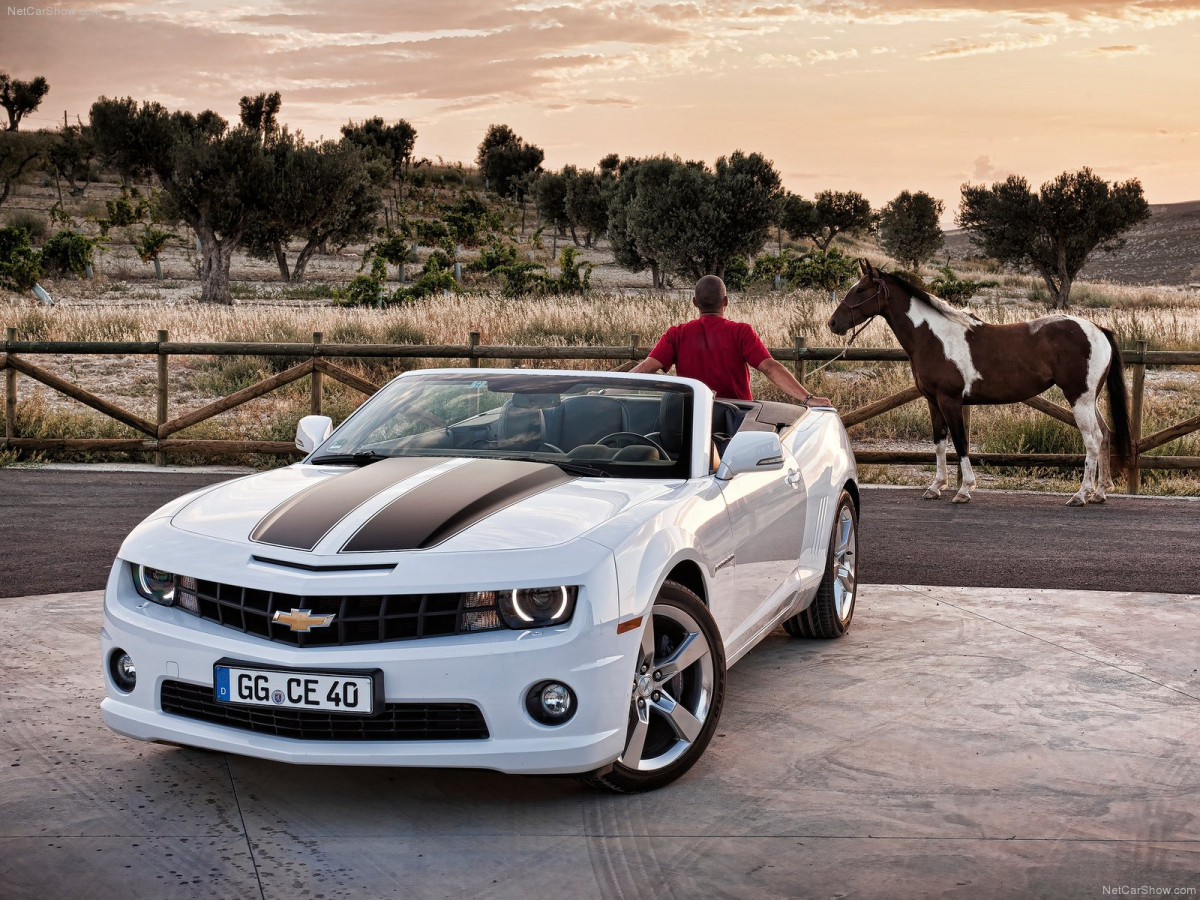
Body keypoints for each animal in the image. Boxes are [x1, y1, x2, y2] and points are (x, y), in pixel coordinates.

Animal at [830, 264, 1128, 511]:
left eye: (860, 289)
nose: (833, 323)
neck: (934, 338)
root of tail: (1097, 329)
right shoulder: (933, 401)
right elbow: (939, 443)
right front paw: (936, 487)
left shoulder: (950, 401)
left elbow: (960, 442)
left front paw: (964, 490)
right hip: (1089, 399)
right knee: (1105, 434)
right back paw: (1100, 492)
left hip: (1079, 398)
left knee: (1093, 439)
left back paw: (1081, 494)